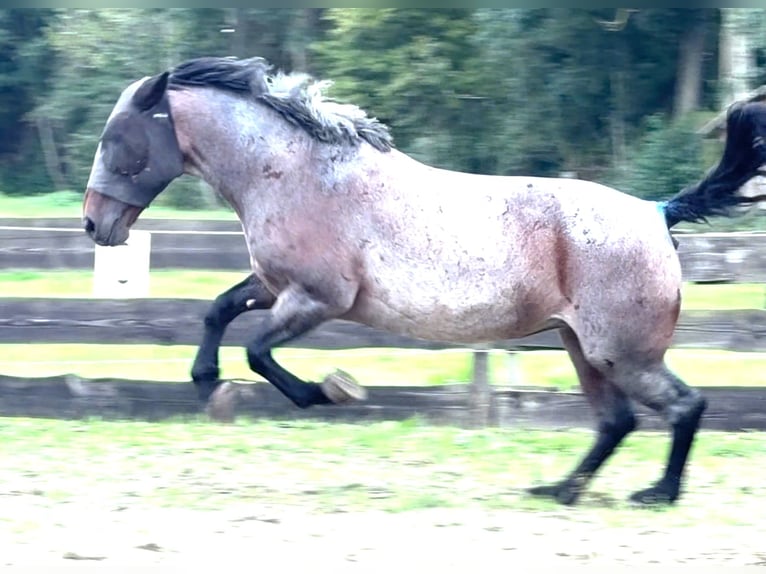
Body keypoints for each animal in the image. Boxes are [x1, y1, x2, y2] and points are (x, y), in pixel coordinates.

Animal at [81, 56, 766, 506]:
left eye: (116, 140)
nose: (93, 224)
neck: (298, 172)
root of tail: (658, 212)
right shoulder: (276, 286)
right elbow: (218, 311)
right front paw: (206, 380)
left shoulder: (317, 299)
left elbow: (256, 350)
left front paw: (328, 392)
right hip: (583, 349)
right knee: (616, 422)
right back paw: (560, 490)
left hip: (618, 352)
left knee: (683, 406)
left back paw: (658, 493)